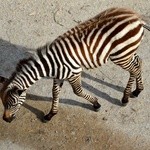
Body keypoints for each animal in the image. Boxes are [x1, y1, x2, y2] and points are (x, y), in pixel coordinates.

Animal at [0, 6, 150, 123]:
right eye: (3, 102)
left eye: (12, 104)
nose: (6, 120)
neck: (51, 64)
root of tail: (136, 17)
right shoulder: (59, 76)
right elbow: (55, 93)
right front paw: (51, 114)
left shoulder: (74, 73)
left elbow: (77, 91)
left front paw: (96, 104)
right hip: (126, 52)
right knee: (138, 62)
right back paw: (137, 90)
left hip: (120, 55)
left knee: (133, 69)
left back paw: (126, 97)